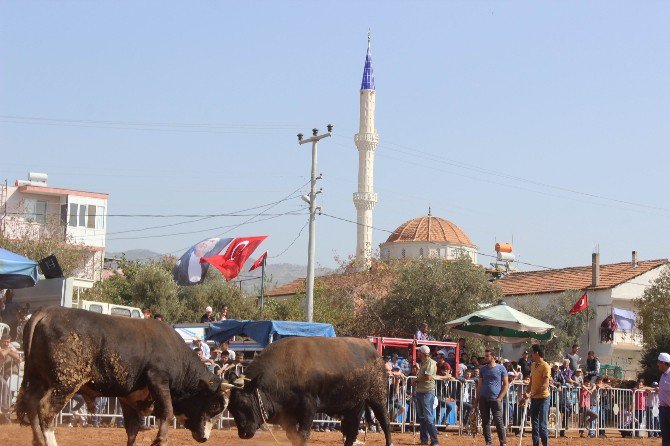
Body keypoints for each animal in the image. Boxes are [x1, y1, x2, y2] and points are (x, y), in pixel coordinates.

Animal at [16, 306, 231, 446]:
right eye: (214, 405)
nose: (204, 438)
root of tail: (46, 312)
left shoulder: (128, 397)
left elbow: (132, 429)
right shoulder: (158, 379)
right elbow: (167, 413)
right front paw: (160, 440)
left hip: (38, 380)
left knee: (31, 403)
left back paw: (38, 441)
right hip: (65, 382)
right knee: (45, 409)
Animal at [228, 336, 394, 446]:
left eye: (243, 403)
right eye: (230, 407)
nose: (243, 433)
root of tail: (374, 352)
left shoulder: (308, 406)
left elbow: (302, 435)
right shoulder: (287, 415)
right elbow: (293, 436)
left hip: (377, 396)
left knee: (384, 421)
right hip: (353, 405)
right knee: (351, 431)